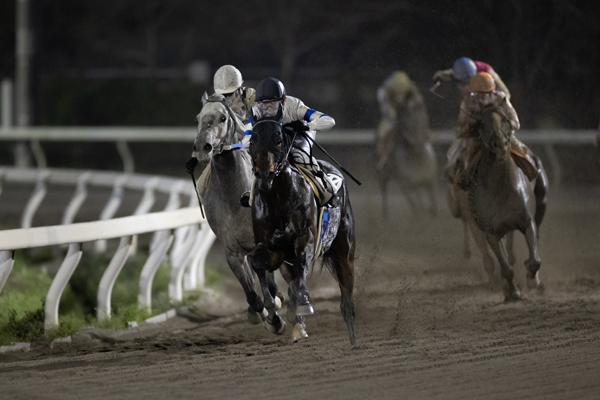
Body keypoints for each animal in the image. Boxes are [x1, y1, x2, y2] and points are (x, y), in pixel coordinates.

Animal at [193, 94, 284, 324]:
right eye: (197, 118)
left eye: (223, 117)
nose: (202, 147)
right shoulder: (233, 251)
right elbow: (252, 293)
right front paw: (258, 311)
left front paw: (276, 304)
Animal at [245, 118, 354, 344]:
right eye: (253, 139)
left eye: (278, 139)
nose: (264, 173)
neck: (278, 197)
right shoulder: (273, 248)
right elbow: (256, 261)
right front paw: (274, 318)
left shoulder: (306, 239)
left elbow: (303, 262)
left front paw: (302, 303)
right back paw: (297, 324)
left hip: (344, 249)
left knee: (346, 291)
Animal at [468, 108, 548, 302]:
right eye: (483, 123)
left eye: (505, 119)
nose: (501, 145)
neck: (500, 187)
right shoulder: (491, 232)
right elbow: (506, 268)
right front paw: (512, 292)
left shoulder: (527, 221)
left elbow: (535, 260)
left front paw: (532, 279)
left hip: (542, 200)